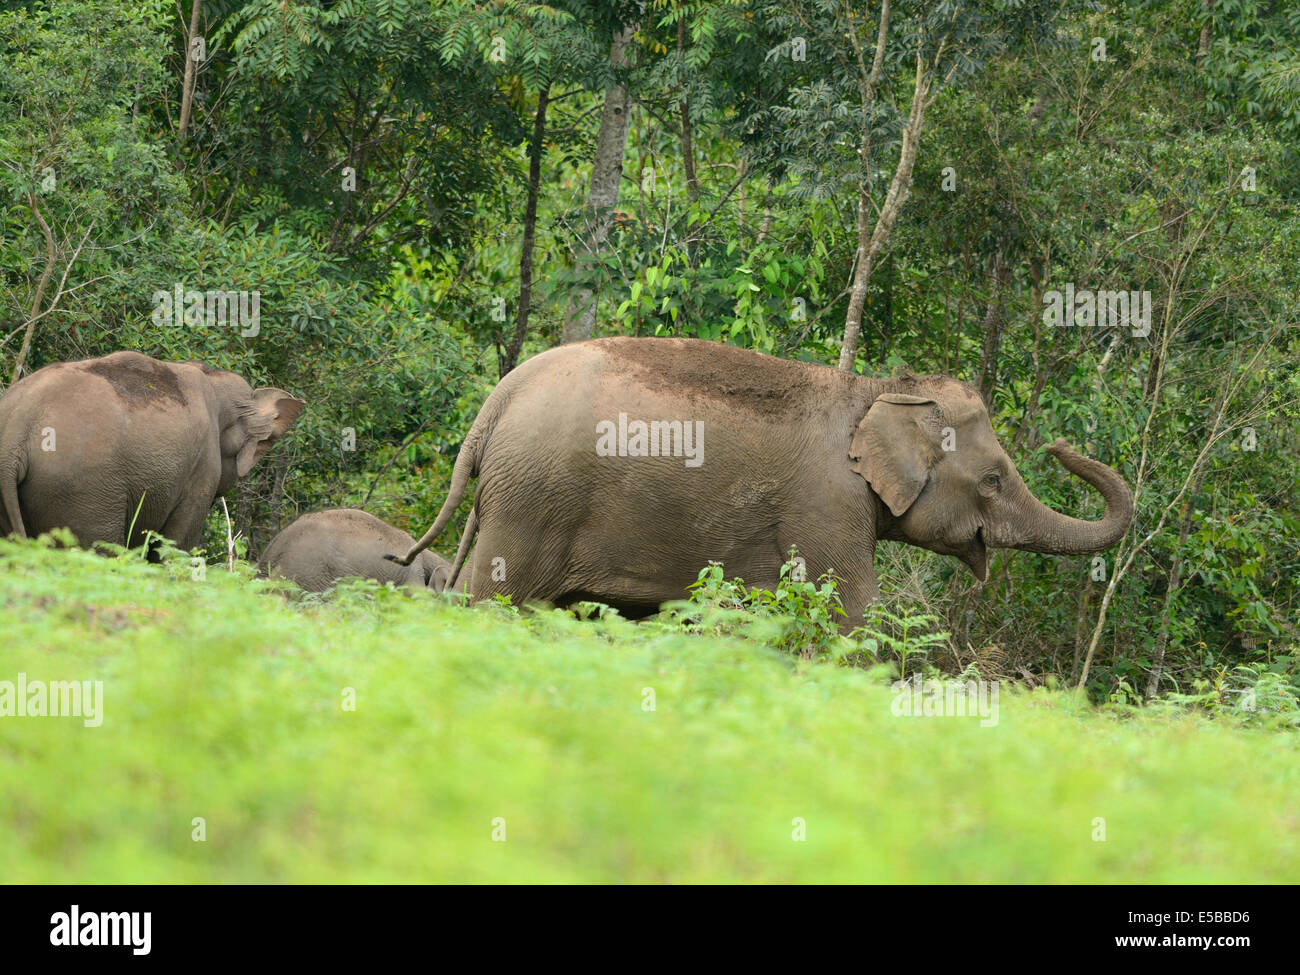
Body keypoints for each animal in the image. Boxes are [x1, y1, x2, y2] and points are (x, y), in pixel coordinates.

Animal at [389, 337, 1133, 630]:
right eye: (995, 479)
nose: (1061, 444)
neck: (877, 390)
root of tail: (494, 405)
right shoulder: (828, 504)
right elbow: (854, 611)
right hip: (534, 500)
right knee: (493, 600)